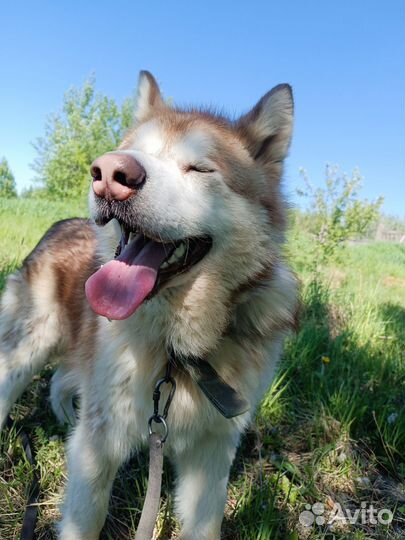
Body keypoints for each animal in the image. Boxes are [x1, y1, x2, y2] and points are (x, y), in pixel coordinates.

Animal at [0, 73, 296, 540]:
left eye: (200, 168)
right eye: (133, 150)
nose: (108, 173)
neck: (179, 350)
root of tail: (61, 223)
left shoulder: (211, 456)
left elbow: (204, 525)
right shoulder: (99, 446)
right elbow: (85, 520)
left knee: (62, 382)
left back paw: (65, 418)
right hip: (30, 344)